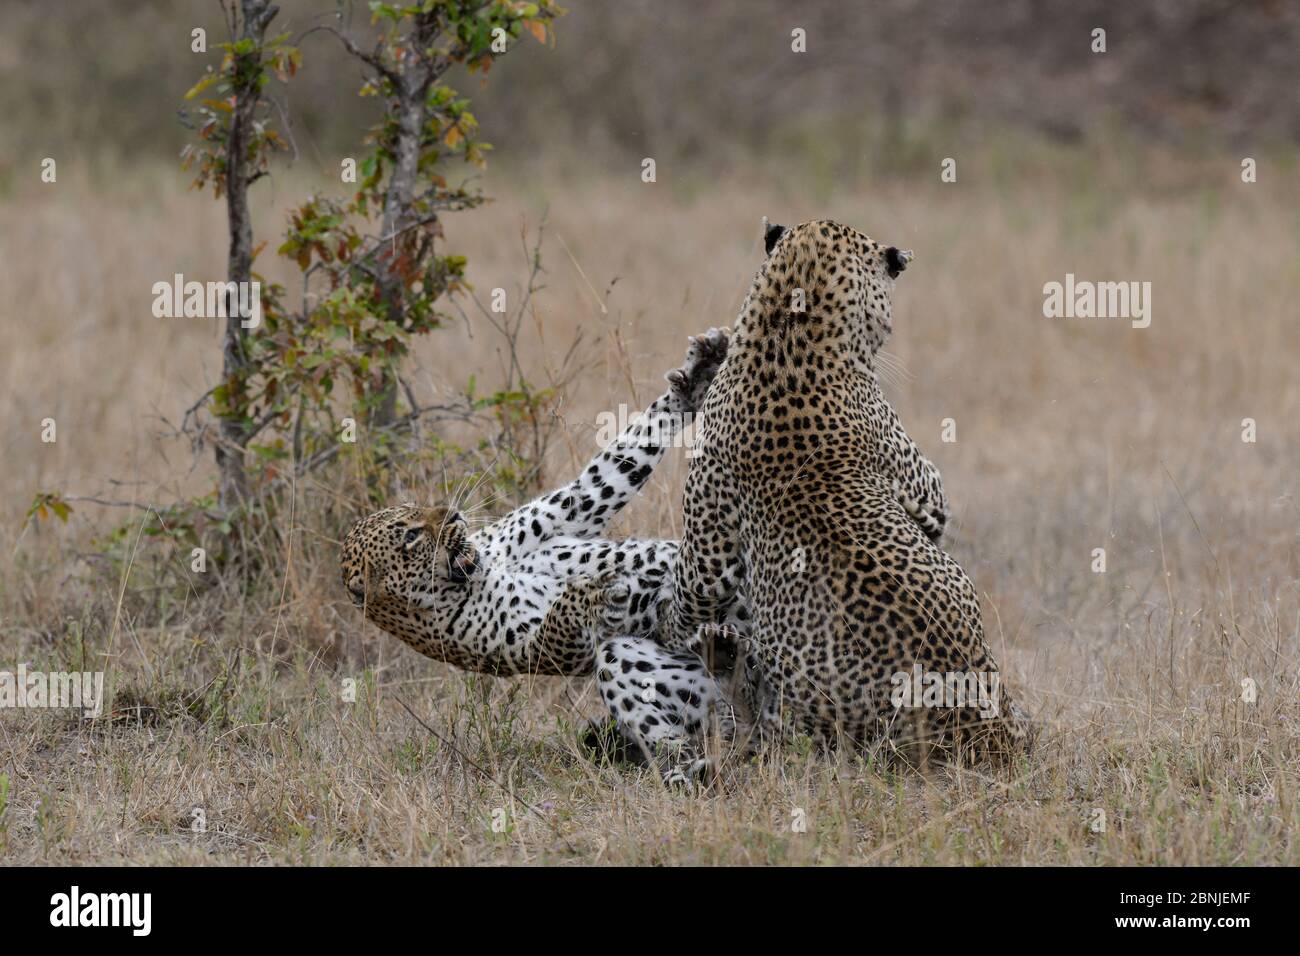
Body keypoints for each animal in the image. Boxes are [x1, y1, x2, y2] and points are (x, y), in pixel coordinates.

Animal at [665, 221, 1029, 764]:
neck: (789, 325)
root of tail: (983, 730)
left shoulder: (709, 551)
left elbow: (688, 596)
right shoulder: (926, 495)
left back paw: (721, 656)